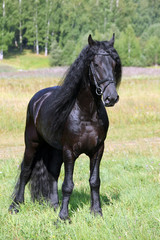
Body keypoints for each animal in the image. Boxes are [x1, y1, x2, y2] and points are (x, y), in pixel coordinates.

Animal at [8, 34, 121, 220]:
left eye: (114, 64)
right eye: (96, 64)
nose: (111, 98)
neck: (86, 114)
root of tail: (37, 100)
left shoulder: (98, 150)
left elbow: (94, 181)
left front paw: (96, 212)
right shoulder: (69, 151)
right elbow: (68, 184)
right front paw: (63, 217)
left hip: (55, 149)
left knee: (53, 172)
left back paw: (54, 205)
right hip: (32, 144)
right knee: (26, 171)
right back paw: (16, 205)